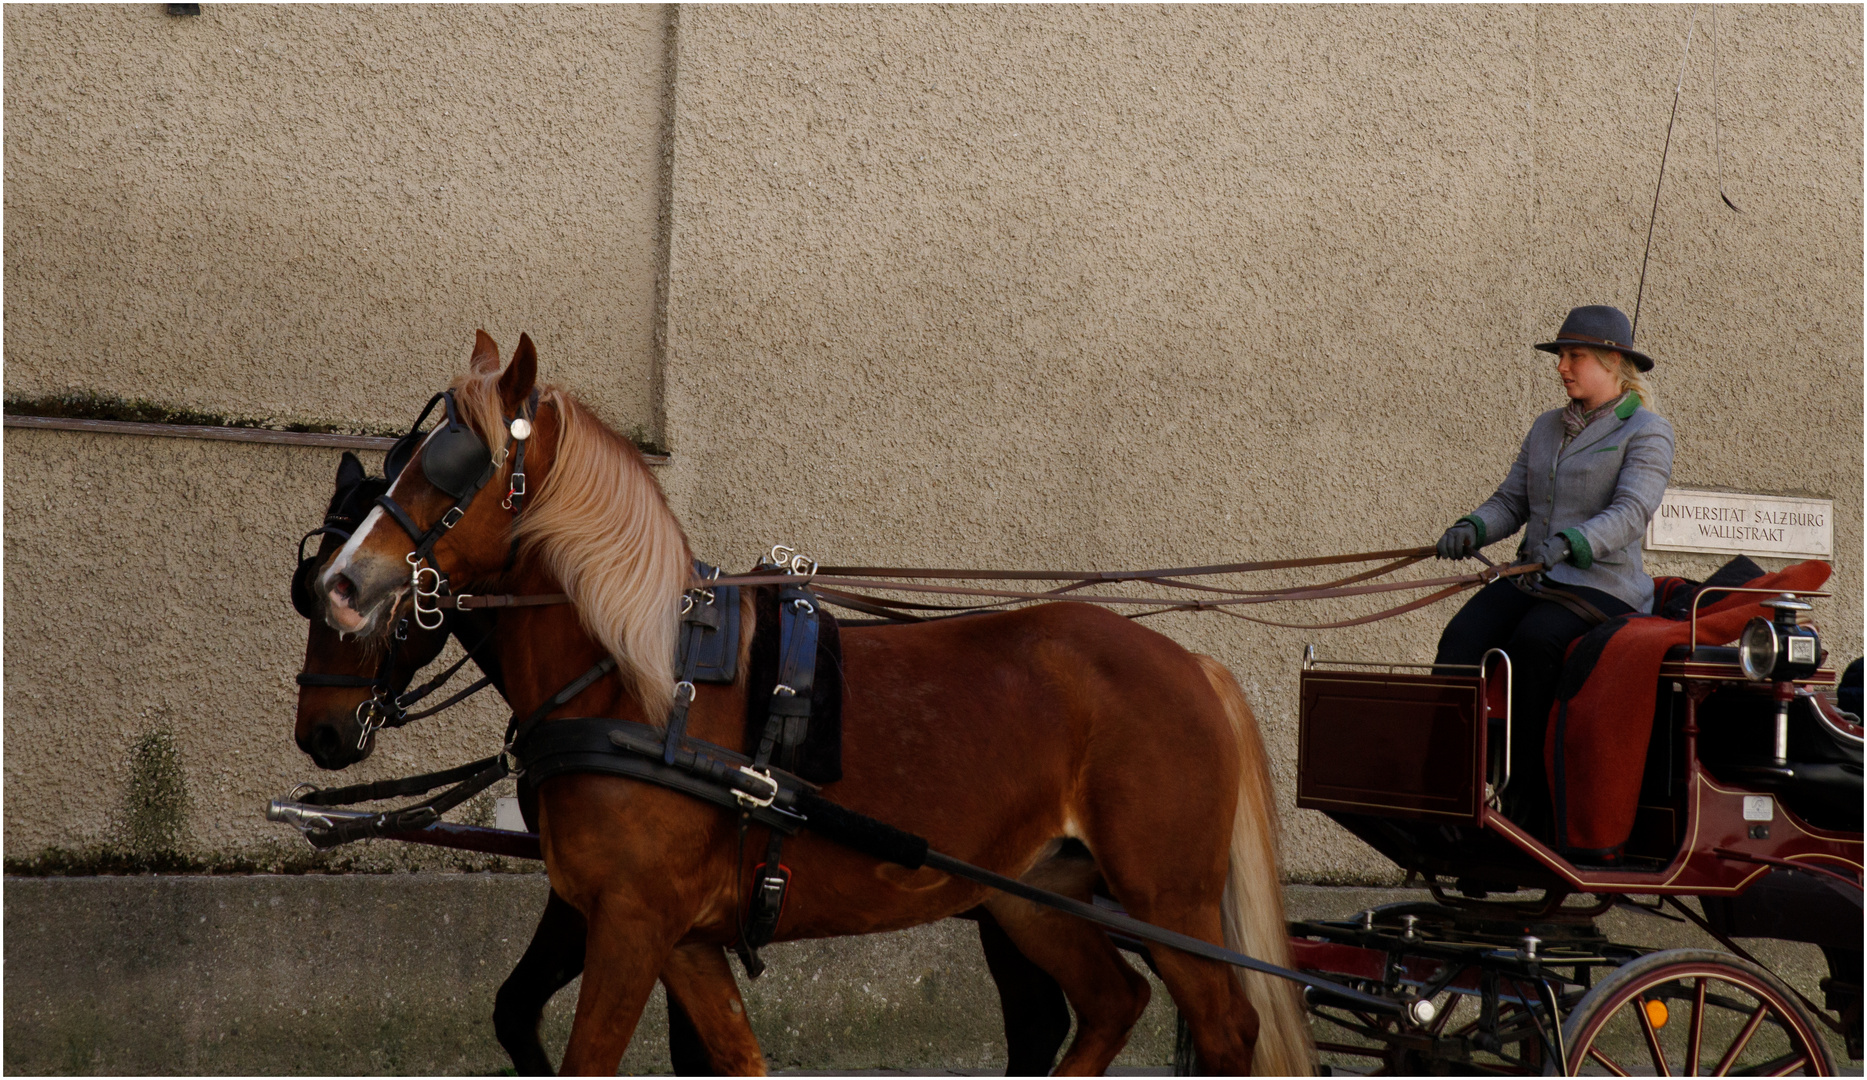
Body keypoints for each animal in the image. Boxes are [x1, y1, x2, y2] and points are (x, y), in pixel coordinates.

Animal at [293, 452, 1082, 1068]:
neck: (617, 675)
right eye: (307, 591)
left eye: (358, 602)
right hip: (1013, 902)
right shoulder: (621, 898)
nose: (320, 734)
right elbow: (528, 1010)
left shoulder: (635, 901)